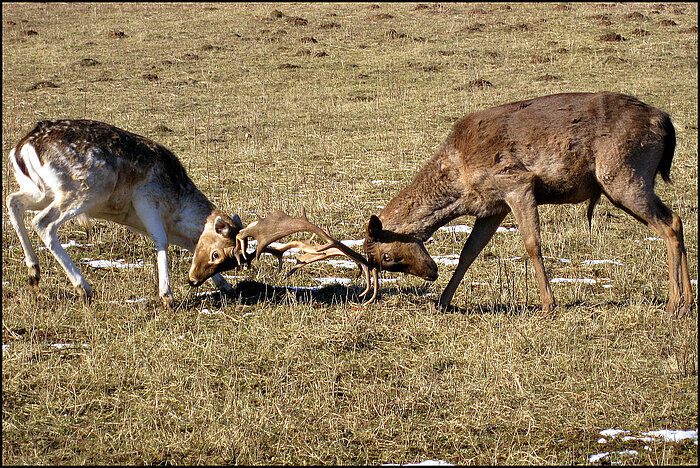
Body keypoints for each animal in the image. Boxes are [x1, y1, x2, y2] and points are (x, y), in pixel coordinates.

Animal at [4, 119, 246, 308]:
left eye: (231, 262)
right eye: (216, 254)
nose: (193, 281)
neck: (176, 214)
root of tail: (22, 147)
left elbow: (189, 245)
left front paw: (226, 286)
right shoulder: (146, 199)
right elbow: (161, 241)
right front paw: (166, 296)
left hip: (41, 191)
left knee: (13, 201)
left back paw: (34, 273)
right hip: (85, 189)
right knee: (43, 221)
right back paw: (84, 288)